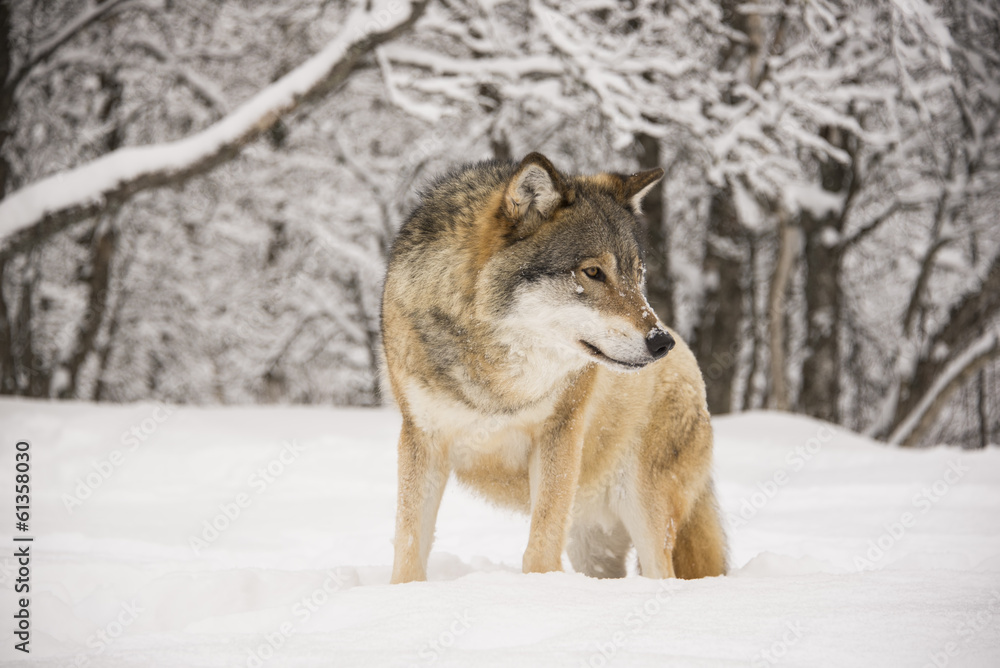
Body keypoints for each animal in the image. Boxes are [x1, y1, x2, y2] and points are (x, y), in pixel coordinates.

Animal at [381, 152, 727, 584]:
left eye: (637, 274)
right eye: (593, 272)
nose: (661, 342)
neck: (498, 372)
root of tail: (692, 369)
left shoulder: (559, 434)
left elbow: (541, 546)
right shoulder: (421, 439)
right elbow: (408, 545)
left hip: (644, 509)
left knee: (662, 572)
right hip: (592, 543)